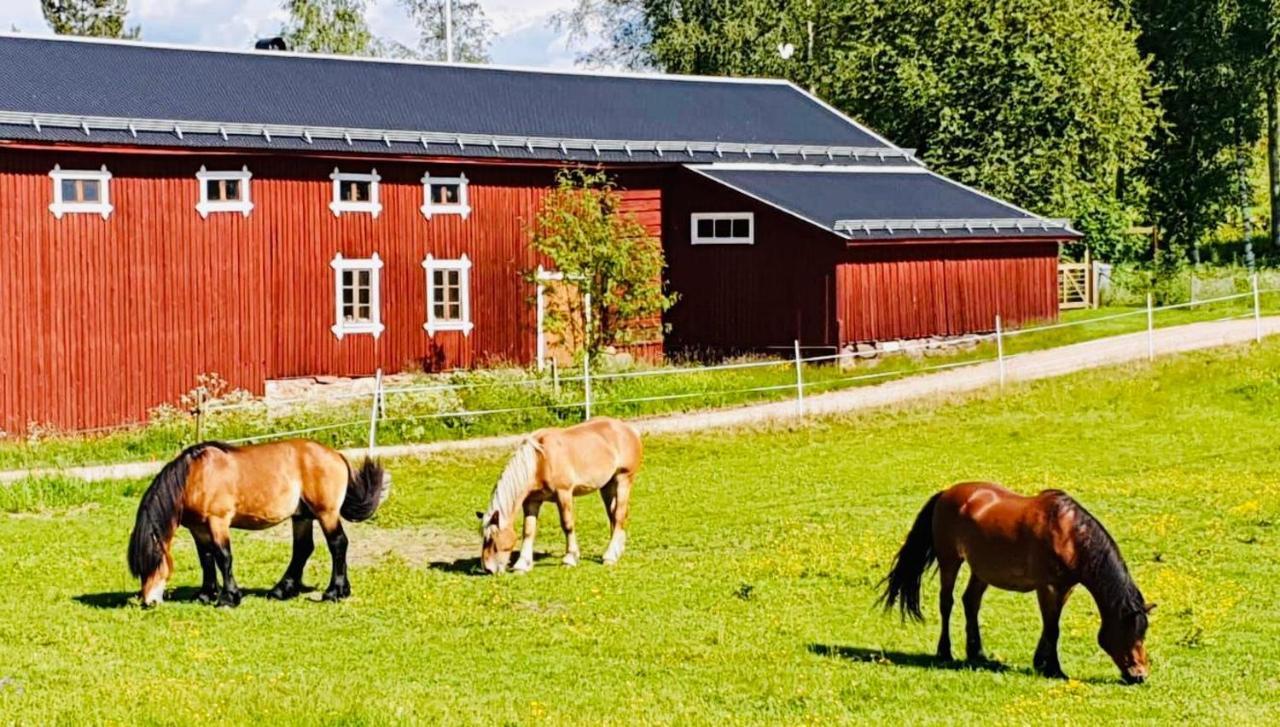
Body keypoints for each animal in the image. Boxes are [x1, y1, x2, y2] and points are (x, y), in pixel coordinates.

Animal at [130, 437, 391, 606]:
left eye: (152, 561)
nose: (148, 601)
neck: (194, 476)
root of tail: (336, 455)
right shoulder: (199, 528)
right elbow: (206, 559)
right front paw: (205, 595)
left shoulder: (218, 522)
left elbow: (223, 557)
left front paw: (228, 597)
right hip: (302, 516)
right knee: (303, 549)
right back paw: (282, 591)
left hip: (326, 513)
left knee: (338, 544)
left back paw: (334, 592)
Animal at [478, 417, 645, 575]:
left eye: (492, 538)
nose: (488, 569)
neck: (540, 461)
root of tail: (628, 429)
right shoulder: (532, 501)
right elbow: (528, 531)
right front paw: (522, 565)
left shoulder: (563, 493)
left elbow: (567, 524)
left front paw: (570, 558)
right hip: (607, 485)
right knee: (613, 515)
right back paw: (616, 551)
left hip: (623, 479)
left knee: (618, 515)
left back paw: (610, 556)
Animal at [885, 483, 1157, 680]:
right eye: (1130, 632)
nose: (1139, 676)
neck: (1069, 535)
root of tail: (946, 493)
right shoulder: (1048, 587)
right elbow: (1053, 628)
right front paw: (1054, 669)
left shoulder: (1065, 588)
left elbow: (1050, 625)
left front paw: (1040, 663)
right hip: (950, 560)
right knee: (947, 603)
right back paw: (945, 652)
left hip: (981, 570)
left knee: (970, 602)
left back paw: (977, 653)